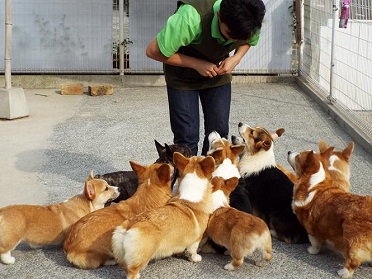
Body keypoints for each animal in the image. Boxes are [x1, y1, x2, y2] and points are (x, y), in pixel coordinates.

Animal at [290, 148, 370, 278]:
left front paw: (312, 251)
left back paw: (343, 272)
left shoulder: (311, 228)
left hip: (352, 240)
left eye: (298, 156)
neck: (315, 182)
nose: (288, 152)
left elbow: (315, 242)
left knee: (353, 261)